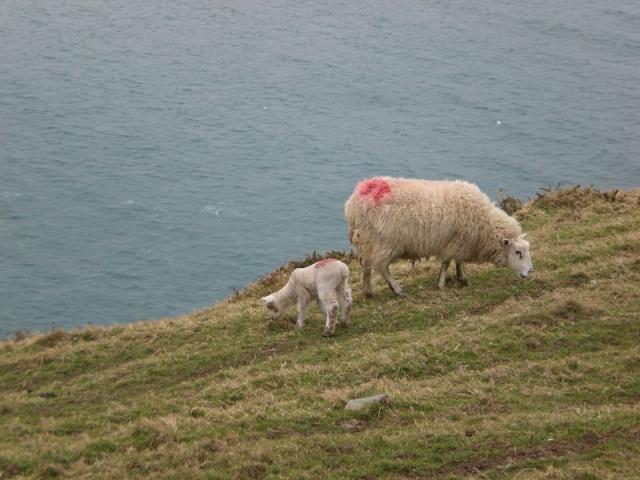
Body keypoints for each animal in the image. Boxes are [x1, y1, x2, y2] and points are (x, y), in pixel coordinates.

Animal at [344, 177, 534, 297]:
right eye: (518, 252)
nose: (531, 272)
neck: (484, 224)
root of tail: (353, 202)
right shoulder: (453, 242)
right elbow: (446, 263)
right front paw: (441, 284)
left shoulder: (461, 243)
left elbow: (458, 261)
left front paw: (461, 277)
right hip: (384, 242)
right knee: (382, 267)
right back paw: (397, 291)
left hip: (366, 241)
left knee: (366, 266)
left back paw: (368, 291)